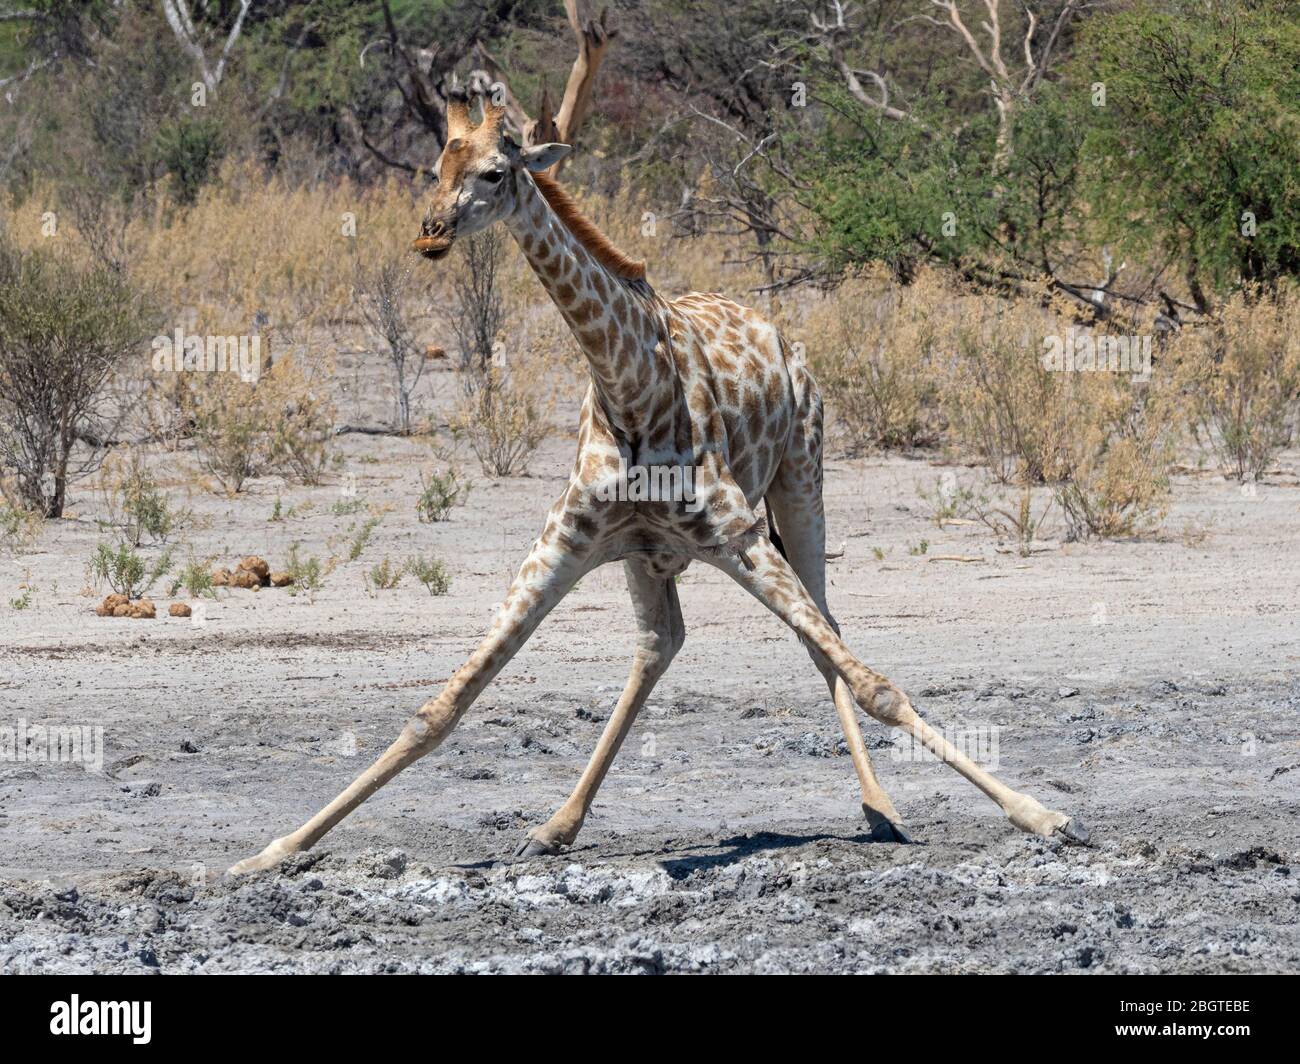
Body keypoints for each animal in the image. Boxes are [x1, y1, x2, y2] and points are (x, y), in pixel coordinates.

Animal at [228, 101, 1081, 868]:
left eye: (496, 171)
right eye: (434, 168)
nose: (430, 231)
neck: (629, 386)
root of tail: (780, 334)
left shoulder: (737, 532)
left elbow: (876, 684)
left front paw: (1042, 815)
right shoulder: (567, 541)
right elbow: (439, 707)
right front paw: (273, 852)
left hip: (801, 486)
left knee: (825, 635)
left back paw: (881, 808)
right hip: (650, 556)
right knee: (660, 644)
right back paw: (556, 826)